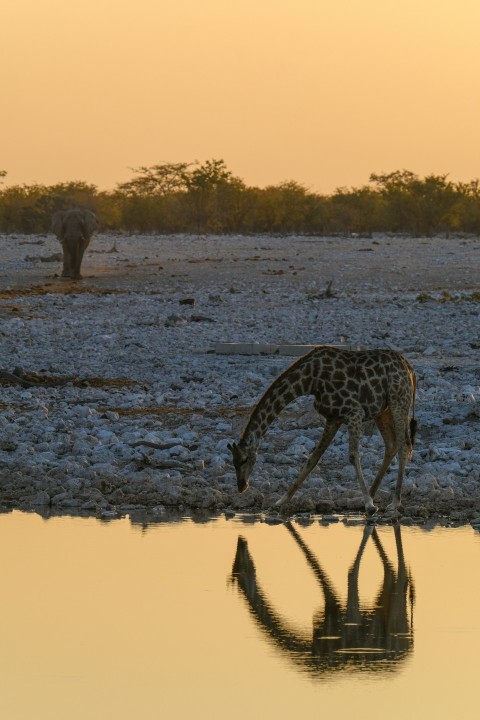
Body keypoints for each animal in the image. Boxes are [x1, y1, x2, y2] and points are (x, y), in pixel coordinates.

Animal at [229, 346, 416, 516]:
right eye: (234, 462)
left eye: (245, 460)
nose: (241, 486)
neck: (309, 381)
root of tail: (409, 368)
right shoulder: (333, 418)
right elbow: (313, 458)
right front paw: (281, 501)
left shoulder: (354, 412)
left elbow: (353, 455)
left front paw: (369, 505)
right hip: (383, 410)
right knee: (391, 445)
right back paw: (370, 494)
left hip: (398, 401)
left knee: (403, 447)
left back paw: (394, 502)